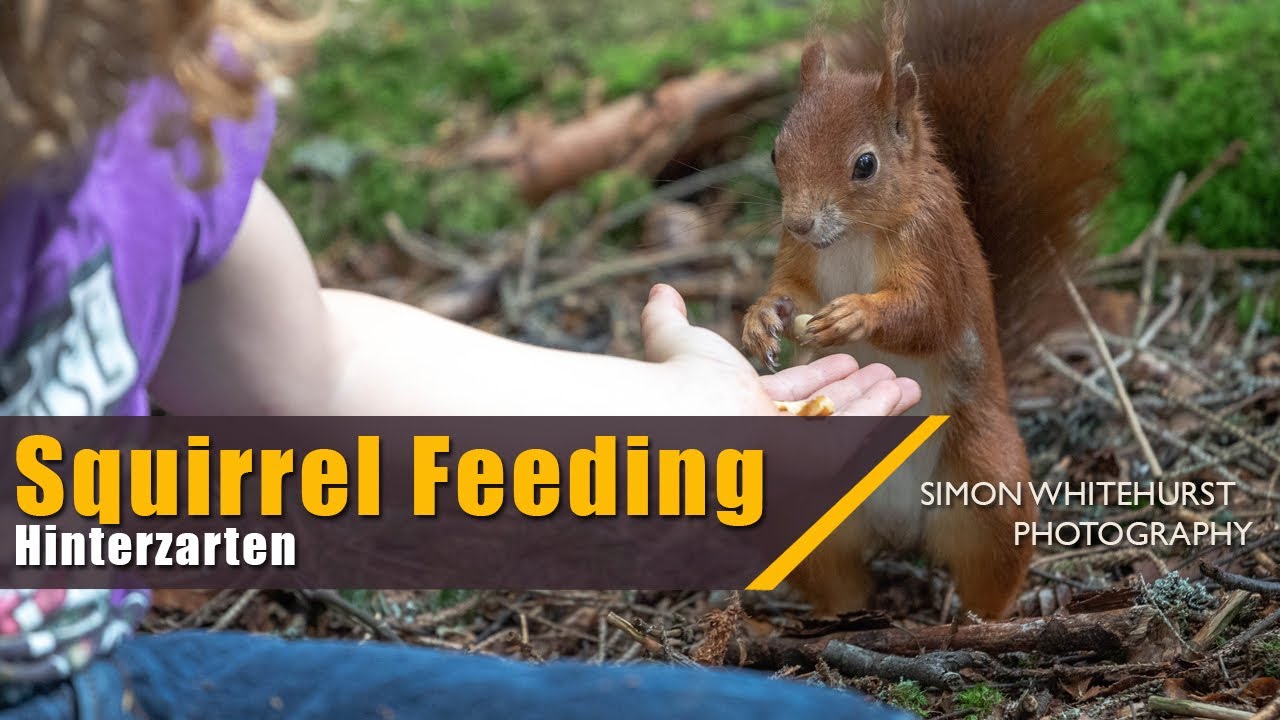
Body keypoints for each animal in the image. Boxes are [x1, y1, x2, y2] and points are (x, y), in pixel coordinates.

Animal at [742, 0, 1116, 619]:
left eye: (865, 164)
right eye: (776, 150)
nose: (799, 222)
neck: (854, 237)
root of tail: (900, 529)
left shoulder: (935, 249)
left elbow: (930, 315)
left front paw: (857, 316)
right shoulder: (800, 260)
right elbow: (789, 290)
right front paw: (759, 319)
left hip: (988, 484)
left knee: (994, 565)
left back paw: (981, 619)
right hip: (802, 504)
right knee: (835, 577)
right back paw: (841, 617)